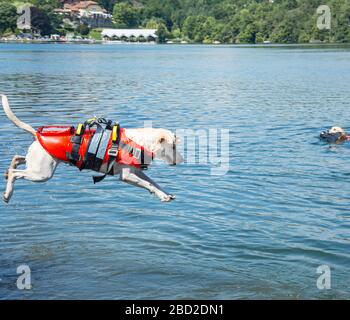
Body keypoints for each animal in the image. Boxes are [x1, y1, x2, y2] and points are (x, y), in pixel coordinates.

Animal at [0, 95, 183, 205]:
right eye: (173, 146)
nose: (181, 161)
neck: (141, 142)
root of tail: (36, 133)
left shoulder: (136, 171)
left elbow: (153, 182)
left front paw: (165, 194)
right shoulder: (127, 175)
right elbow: (148, 184)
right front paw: (161, 195)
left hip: (39, 165)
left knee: (17, 158)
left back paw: (8, 171)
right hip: (42, 173)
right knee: (16, 172)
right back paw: (8, 192)